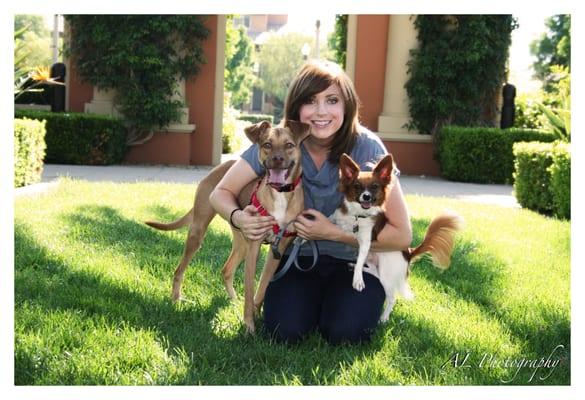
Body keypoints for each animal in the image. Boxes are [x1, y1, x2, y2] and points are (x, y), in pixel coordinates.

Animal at [145, 120, 310, 332]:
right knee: (179, 271)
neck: (280, 194)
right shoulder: (254, 247)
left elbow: (262, 287)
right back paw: (176, 299)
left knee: (226, 270)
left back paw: (233, 300)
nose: (277, 159)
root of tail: (221, 167)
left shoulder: (278, 249)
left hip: (241, 242)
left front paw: (257, 314)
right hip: (198, 232)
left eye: (289, 145)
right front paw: (249, 326)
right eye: (267, 144)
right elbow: (250, 290)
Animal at [328, 153, 460, 322]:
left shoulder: (365, 243)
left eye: (375, 186)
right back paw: (354, 266)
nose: (366, 197)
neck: (357, 216)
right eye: (357, 186)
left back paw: (383, 318)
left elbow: (360, 260)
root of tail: (409, 253)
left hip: (387, 273)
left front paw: (357, 279)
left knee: (391, 297)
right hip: (376, 262)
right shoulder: (334, 218)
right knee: (373, 270)